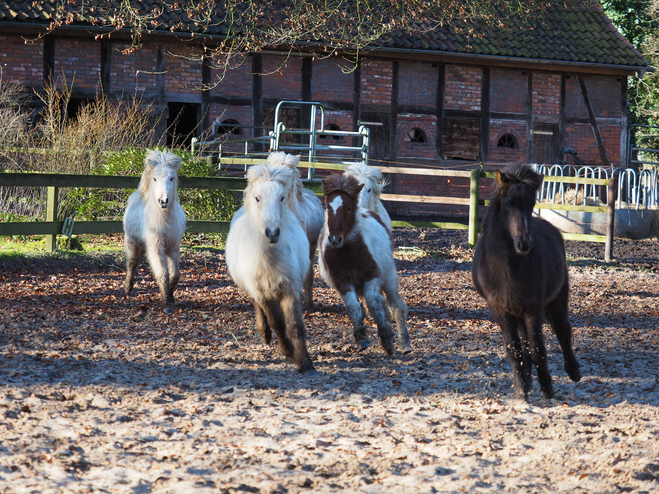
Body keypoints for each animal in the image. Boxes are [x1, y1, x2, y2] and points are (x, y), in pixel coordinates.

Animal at [122, 149, 186, 314]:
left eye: (172, 178)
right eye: (155, 179)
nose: (163, 201)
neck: (163, 221)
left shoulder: (173, 247)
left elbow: (175, 274)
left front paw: (171, 298)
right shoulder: (156, 247)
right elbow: (163, 274)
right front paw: (167, 305)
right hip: (132, 243)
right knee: (132, 264)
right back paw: (127, 288)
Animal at [227, 162, 318, 374]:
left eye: (282, 197)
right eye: (257, 198)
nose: (272, 233)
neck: (269, 257)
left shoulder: (290, 289)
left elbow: (294, 326)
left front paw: (305, 363)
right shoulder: (262, 293)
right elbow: (277, 322)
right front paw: (289, 353)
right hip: (254, 289)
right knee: (259, 309)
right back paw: (265, 334)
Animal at [320, 174, 412, 356]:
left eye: (349, 208)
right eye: (327, 206)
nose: (334, 239)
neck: (348, 253)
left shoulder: (372, 277)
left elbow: (374, 303)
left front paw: (387, 340)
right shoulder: (342, 281)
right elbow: (354, 308)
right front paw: (362, 340)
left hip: (389, 277)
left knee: (396, 306)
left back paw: (405, 344)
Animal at [472, 164, 580, 400]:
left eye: (531, 203)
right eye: (508, 203)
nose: (524, 243)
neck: (507, 268)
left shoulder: (533, 308)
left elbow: (537, 348)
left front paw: (547, 387)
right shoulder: (501, 310)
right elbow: (514, 349)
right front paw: (521, 387)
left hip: (556, 299)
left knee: (562, 329)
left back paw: (573, 371)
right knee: (524, 342)